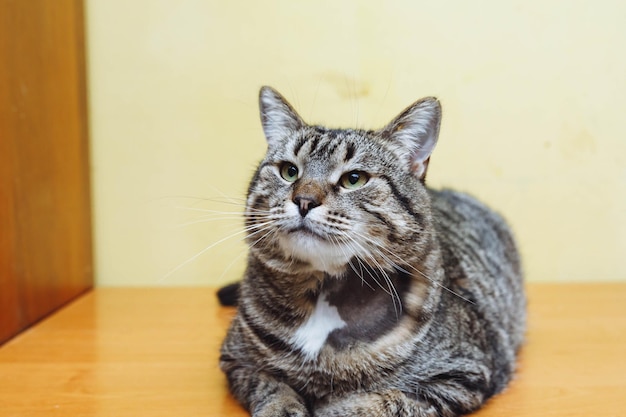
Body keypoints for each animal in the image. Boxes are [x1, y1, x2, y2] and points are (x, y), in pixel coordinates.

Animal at [217, 86, 524, 414]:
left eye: (354, 179)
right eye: (289, 171)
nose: (304, 200)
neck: (325, 293)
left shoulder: (460, 376)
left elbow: (381, 401)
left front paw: (332, 408)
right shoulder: (235, 360)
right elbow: (271, 385)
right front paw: (284, 407)